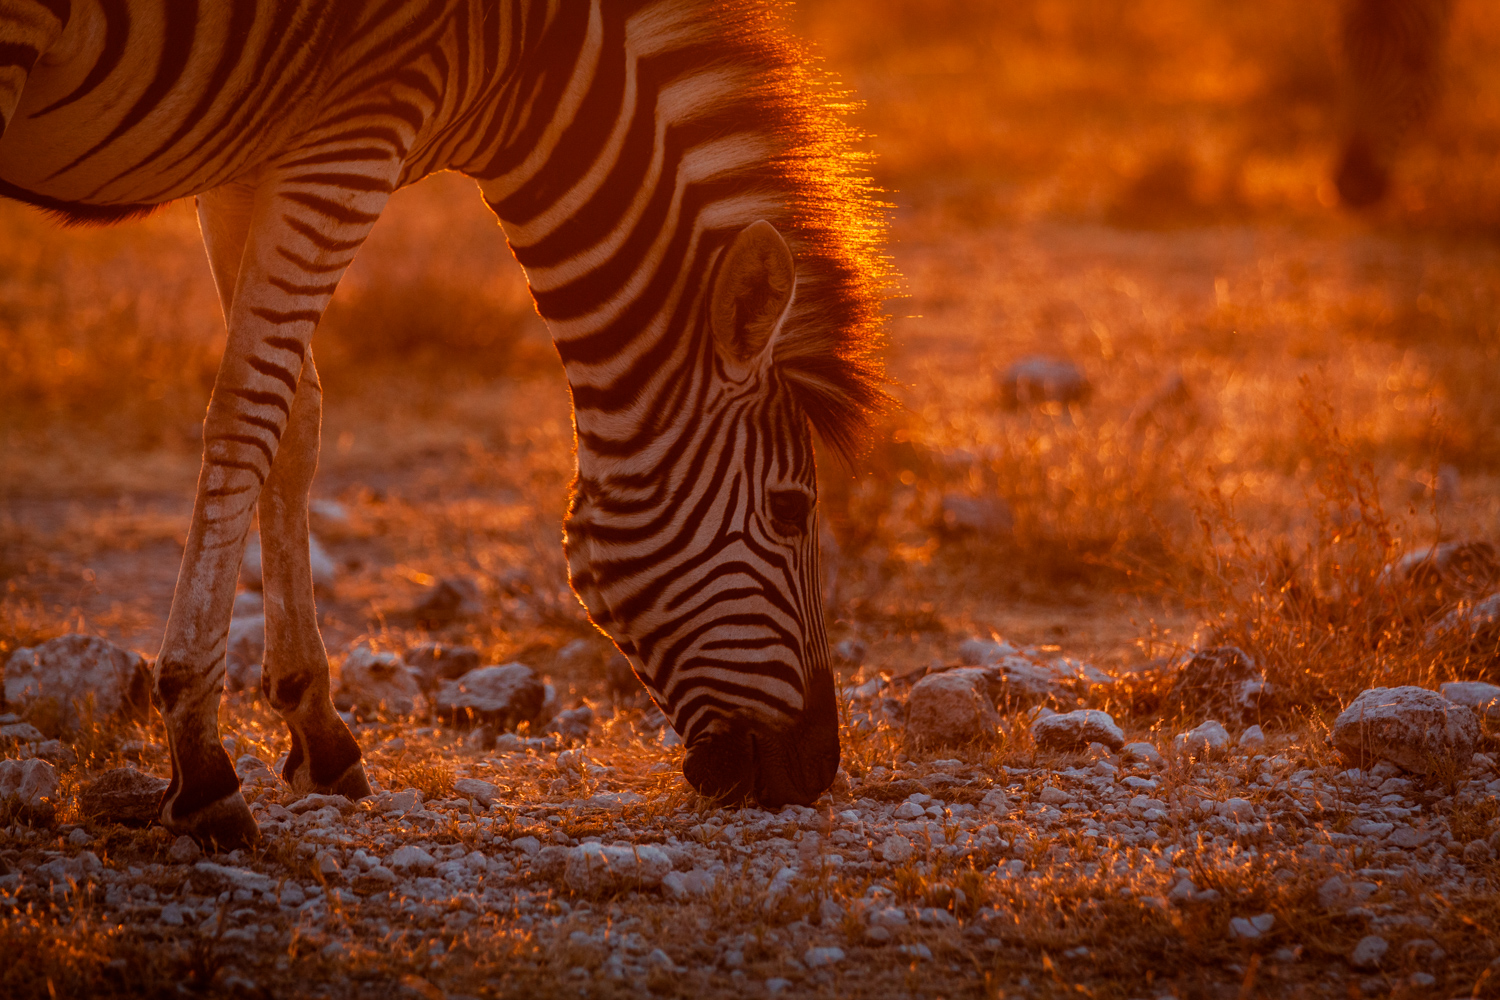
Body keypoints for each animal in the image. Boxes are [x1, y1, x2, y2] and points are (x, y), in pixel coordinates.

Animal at [0, 0, 876, 851]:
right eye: (790, 509)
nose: (815, 769)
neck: (533, 58)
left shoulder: (247, 160)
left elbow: (299, 416)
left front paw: (317, 728)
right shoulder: (356, 135)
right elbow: (252, 410)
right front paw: (202, 764)